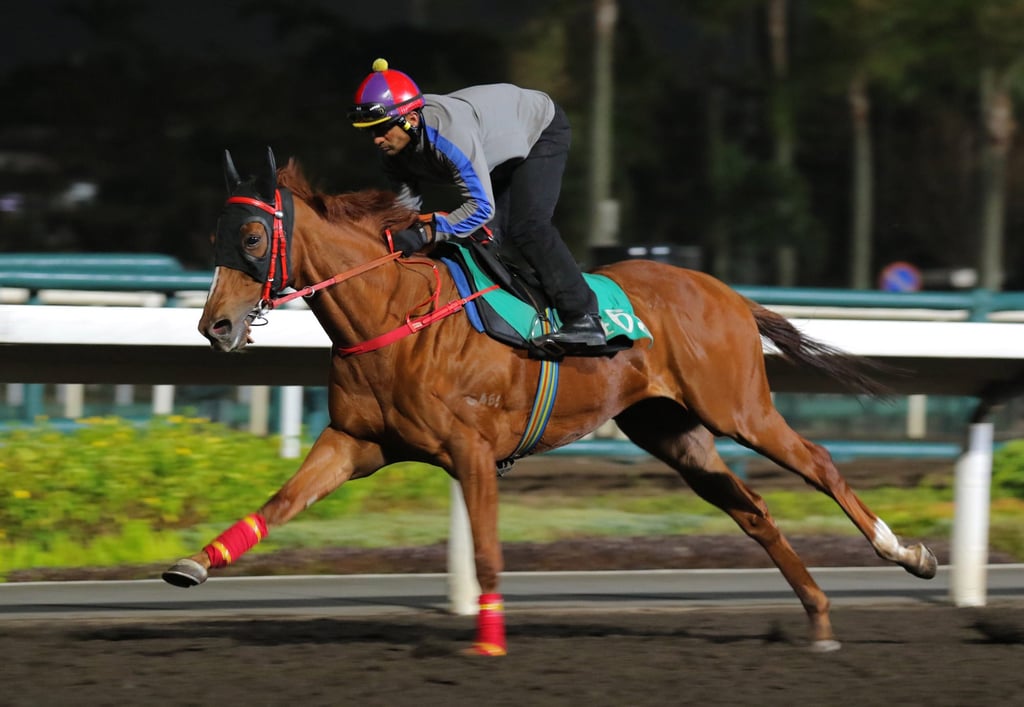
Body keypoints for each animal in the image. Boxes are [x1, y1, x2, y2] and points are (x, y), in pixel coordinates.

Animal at [163, 147, 937, 656]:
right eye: (214, 236)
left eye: (253, 236)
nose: (215, 326)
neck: (395, 312)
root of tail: (727, 291)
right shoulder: (355, 442)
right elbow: (280, 503)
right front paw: (194, 562)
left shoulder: (471, 450)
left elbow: (487, 550)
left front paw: (489, 641)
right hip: (672, 431)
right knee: (753, 510)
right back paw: (820, 616)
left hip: (738, 408)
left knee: (820, 463)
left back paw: (907, 553)